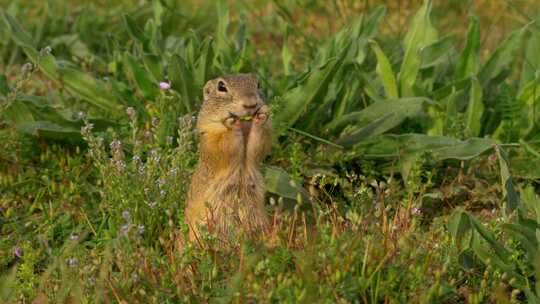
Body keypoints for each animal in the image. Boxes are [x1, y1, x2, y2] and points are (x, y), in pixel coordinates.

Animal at [186, 73, 272, 242]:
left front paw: (262, 115)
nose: (251, 104)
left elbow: (259, 145)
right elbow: (222, 144)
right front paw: (231, 122)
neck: (244, 127)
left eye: (258, 84)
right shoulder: (211, 133)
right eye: (221, 86)